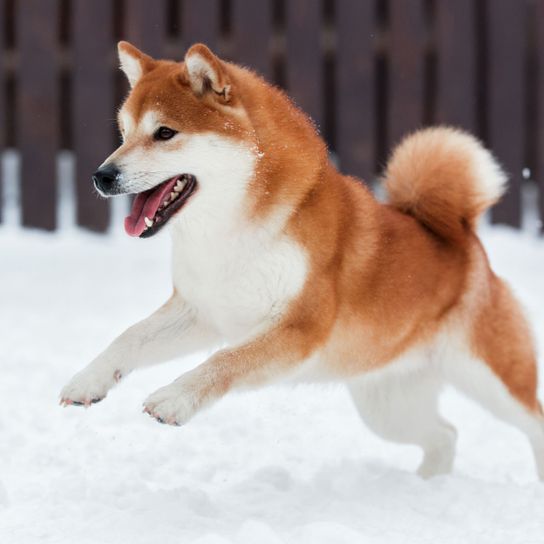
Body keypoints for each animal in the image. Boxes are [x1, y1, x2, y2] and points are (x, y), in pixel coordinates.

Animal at [59, 40, 540, 478]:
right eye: (124, 133)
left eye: (164, 133)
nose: (101, 176)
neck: (233, 231)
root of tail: (462, 236)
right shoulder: (204, 311)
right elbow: (130, 337)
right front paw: (88, 380)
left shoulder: (301, 327)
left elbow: (225, 361)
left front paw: (175, 399)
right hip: (386, 404)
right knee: (445, 436)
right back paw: (427, 486)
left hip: (489, 379)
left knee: (531, 421)